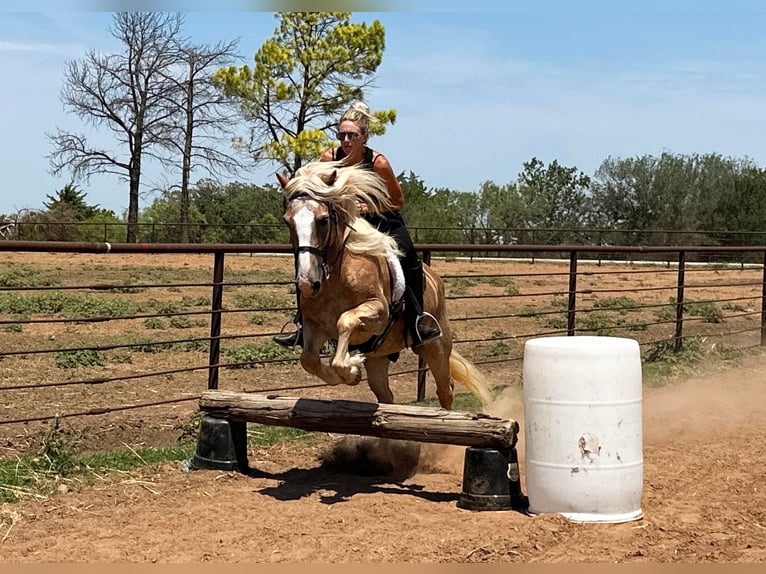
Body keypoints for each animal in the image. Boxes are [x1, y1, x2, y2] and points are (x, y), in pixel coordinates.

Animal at [280, 162, 496, 412]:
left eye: (323, 220)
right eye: (287, 221)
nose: (307, 283)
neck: (337, 275)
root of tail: (436, 279)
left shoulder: (378, 312)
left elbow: (346, 321)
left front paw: (352, 367)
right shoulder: (314, 325)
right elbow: (309, 360)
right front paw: (352, 372)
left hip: (436, 346)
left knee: (445, 389)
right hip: (379, 356)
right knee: (386, 396)